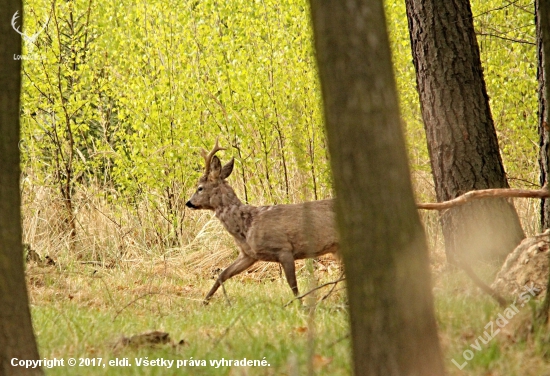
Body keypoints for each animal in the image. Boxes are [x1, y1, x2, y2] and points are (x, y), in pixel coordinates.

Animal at [187, 139, 340, 302]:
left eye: (200, 188)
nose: (188, 203)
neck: (247, 225)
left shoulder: (284, 248)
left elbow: (293, 285)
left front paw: (300, 305)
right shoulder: (248, 255)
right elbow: (222, 274)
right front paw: (205, 301)